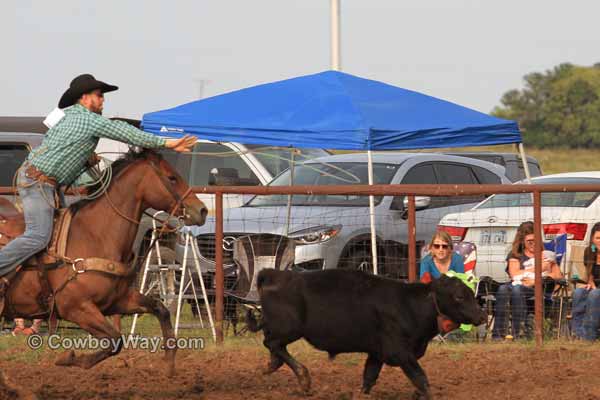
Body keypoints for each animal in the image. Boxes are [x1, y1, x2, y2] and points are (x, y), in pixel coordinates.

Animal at [1, 149, 209, 376]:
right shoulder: (76, 307)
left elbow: (159, 308)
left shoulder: (117, 301)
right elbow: (115, 340)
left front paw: (169, 362)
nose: (202, 210)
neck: (95, 235)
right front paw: (69, 358)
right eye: (172, 178)